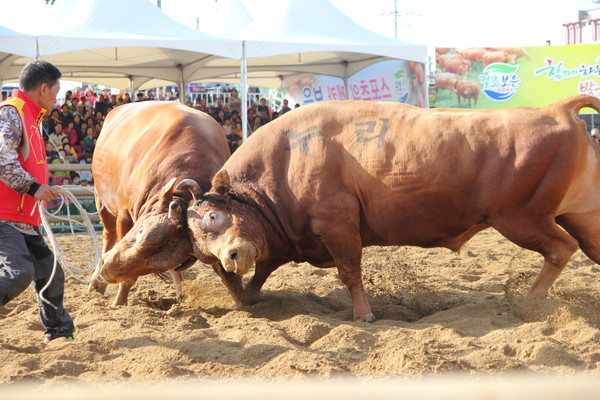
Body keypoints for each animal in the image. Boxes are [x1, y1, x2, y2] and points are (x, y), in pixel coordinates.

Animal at [91, 101, 230, 304]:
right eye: (141, 230)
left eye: (153, 265)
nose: (108, 270)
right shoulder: (124, 215)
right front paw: (119, 302)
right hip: (101, 200)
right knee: (108, 237)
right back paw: (96, 280)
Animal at [180, 94, 600, 322]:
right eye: (201, 250)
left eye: (215, 217)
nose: (232, 257)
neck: (286, 157)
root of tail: (556, 109)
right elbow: (265, 269)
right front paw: (250, 296)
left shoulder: (337, 227)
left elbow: (350, 273)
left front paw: (363, 314)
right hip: (579, 216)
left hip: (520, 218)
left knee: (561, 248)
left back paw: (529, 302)